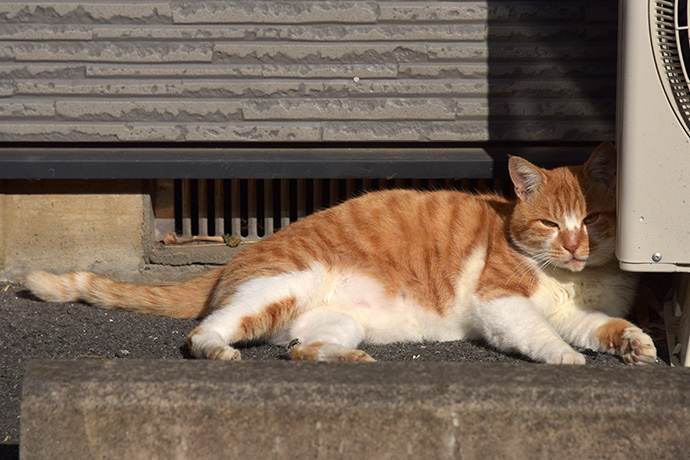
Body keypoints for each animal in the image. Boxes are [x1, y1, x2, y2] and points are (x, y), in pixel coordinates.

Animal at [22, 142, 656, 364]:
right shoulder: (500, 304)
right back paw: (217, 352)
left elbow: (600, 326)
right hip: (283, 286)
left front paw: (633, 344)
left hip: (335, 322)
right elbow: (542, 336)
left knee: (300, 350)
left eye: (591, 220)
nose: (573, 244)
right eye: (551, 222)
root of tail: (235, 257)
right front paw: (566, 360)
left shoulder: (577, 312)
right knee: (206, 331)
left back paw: (350, 359)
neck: (571, 280)